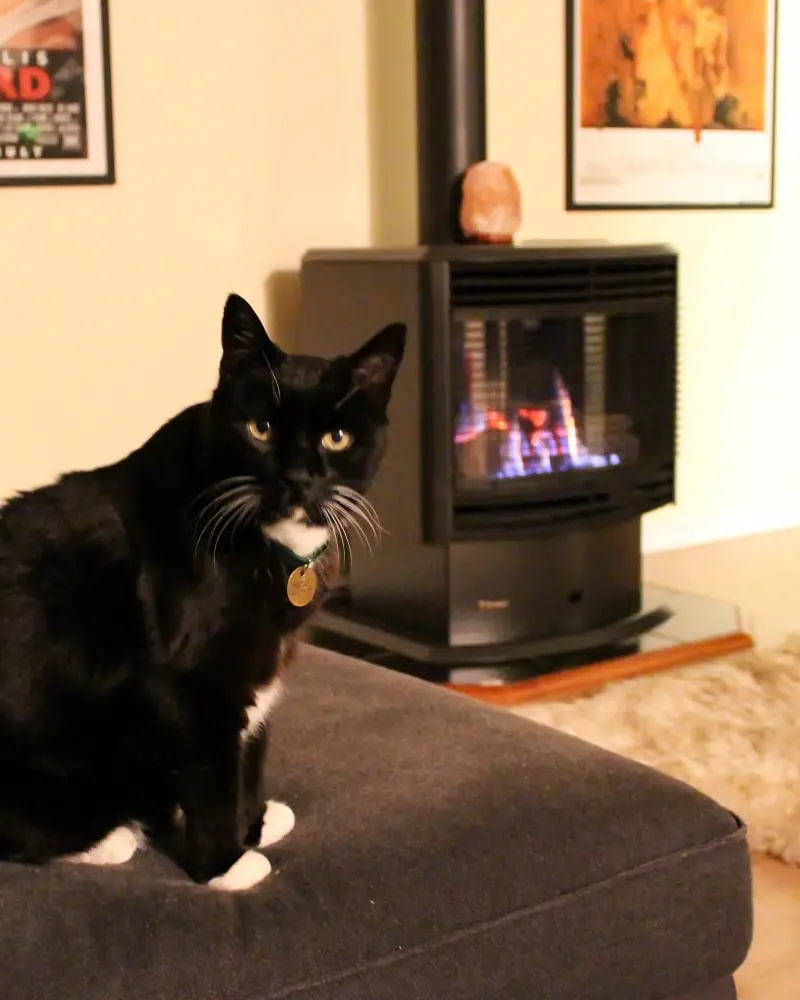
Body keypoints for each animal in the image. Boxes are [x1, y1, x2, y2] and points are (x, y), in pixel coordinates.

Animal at [0, 294, 406, 892]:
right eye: (260, 428)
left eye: (337, 438)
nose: (297, 478)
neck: (270, 547)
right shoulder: (190, 681)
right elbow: (213, 768)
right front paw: (226, 863)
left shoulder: (261, 662)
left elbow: (252, 746)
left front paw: (254, 821)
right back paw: (110, 837)